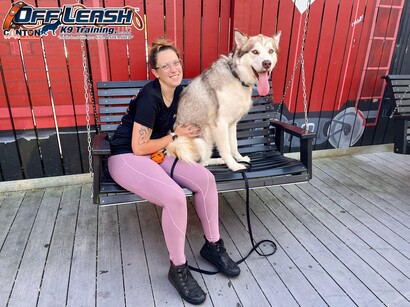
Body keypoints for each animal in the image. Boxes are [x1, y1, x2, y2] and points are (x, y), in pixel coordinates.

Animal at [166, 29, 278, 172]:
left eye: (271, 51)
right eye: (255, 51)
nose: (267, 63)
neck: (237, 77)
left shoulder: (232, 124)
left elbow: (234, 145)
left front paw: (239, 158)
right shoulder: (221, 124)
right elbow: (226, 149)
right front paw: (234, 165)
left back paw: (219, 160)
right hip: (197, 142)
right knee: (200, 164)